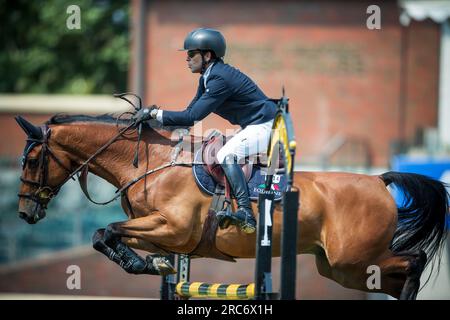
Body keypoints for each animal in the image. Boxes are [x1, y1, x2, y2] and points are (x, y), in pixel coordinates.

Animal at [15, 114, 448, 298]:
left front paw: (142, 264)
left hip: (354, 257)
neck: (151, 163)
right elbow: (109, 237)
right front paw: (151, 264)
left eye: (33, 160)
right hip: (342, 269)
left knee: (413, 262)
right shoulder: (163, 235)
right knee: (392, 278)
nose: (23, 213)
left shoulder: (171, 227)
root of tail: (377, 180)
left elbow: (103, 232)